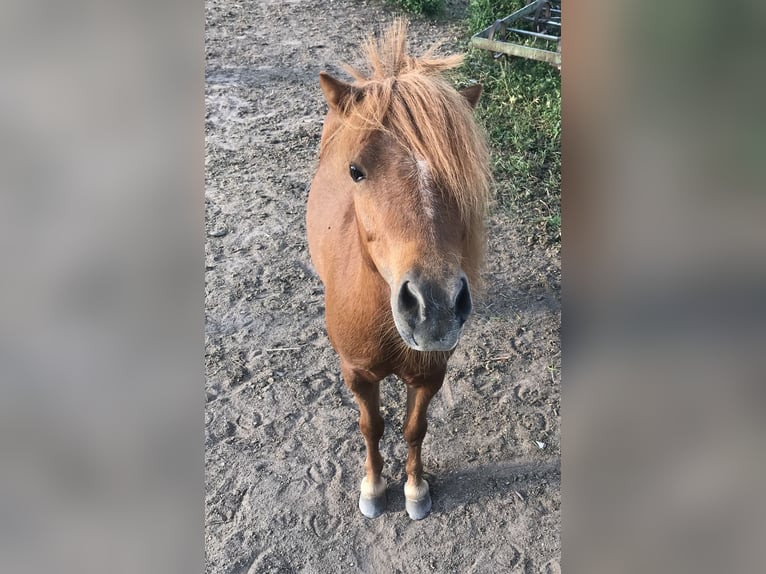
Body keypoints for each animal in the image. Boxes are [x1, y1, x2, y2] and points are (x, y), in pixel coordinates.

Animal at [308, 20, 492, 520]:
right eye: (355, 171)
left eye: (461, 174)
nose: (435, 309)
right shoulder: (357, 373)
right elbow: (370, 426)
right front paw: (373, 489)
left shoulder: (429, 375)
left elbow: (414, 428)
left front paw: (415, 489)